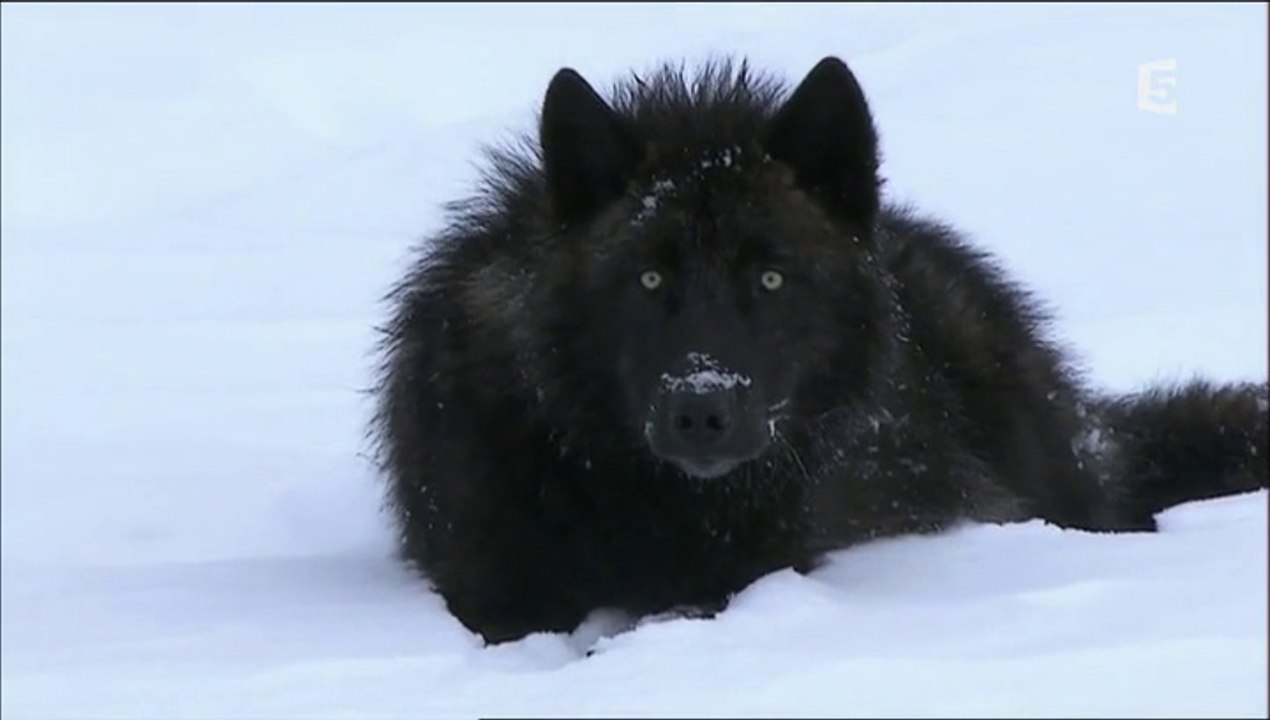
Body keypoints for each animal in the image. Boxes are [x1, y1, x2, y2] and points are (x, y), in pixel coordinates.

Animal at [371, 56, 1268, 644]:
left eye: (771, 278)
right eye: (649, 277)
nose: (702, 406)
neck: (638, 498)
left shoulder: (761, 571)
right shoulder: (489, 588)